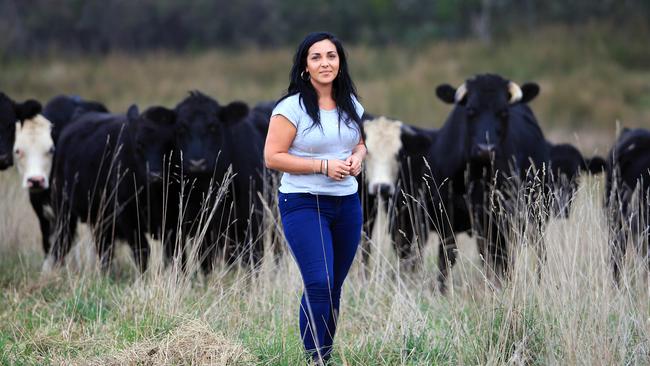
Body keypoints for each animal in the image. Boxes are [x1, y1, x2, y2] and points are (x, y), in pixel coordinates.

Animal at [173, 91, 264, 274]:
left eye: (213, 126)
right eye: (180, 128)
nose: (197, 163)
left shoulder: (252, 218)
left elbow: (253, 260)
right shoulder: (198, 225)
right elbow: (205, 263)